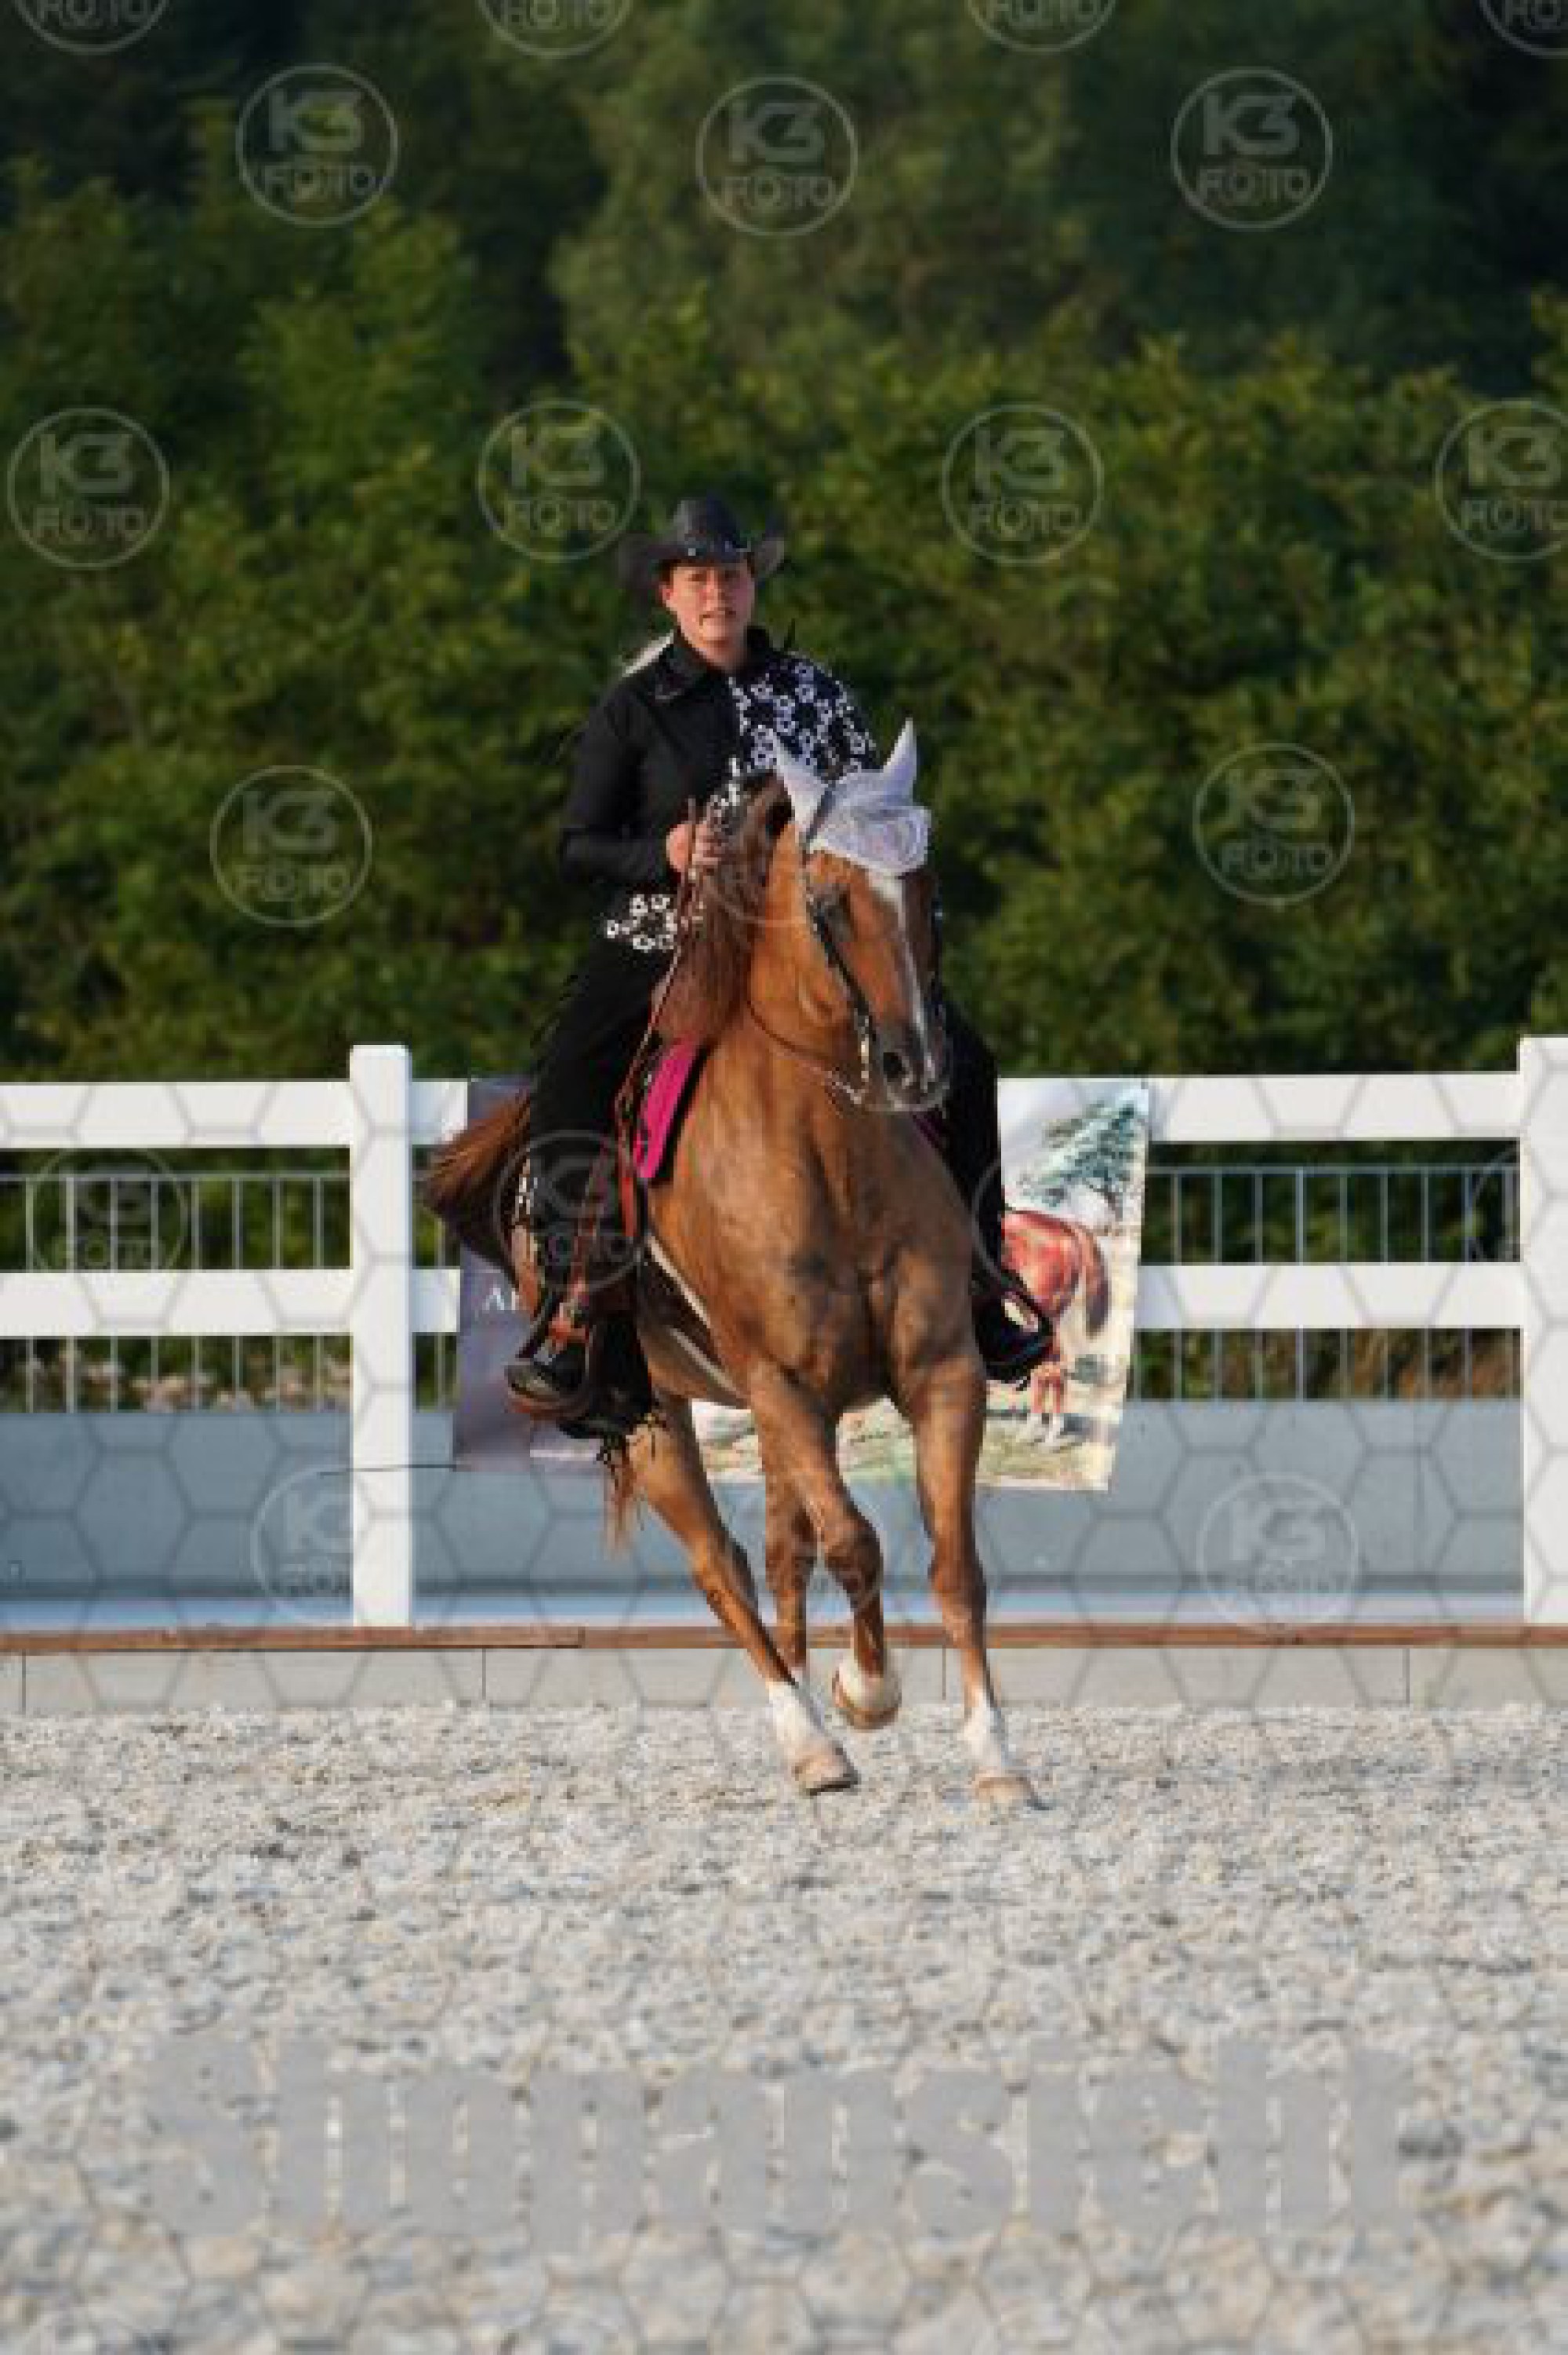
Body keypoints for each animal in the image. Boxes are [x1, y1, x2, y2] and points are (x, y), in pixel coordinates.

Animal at [426, 732, 1039, 1809]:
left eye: (925, 887)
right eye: (828, 899)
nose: (914, 1067)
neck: (827, 1150)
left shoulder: (940, 1373)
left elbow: (951, 1563)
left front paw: (994, 1756)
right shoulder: (781, 1382)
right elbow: (856, 1542)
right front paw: (864, 1693)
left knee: (785, 1552)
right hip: (650, 1414)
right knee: (725, 1566)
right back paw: (809, 1743)